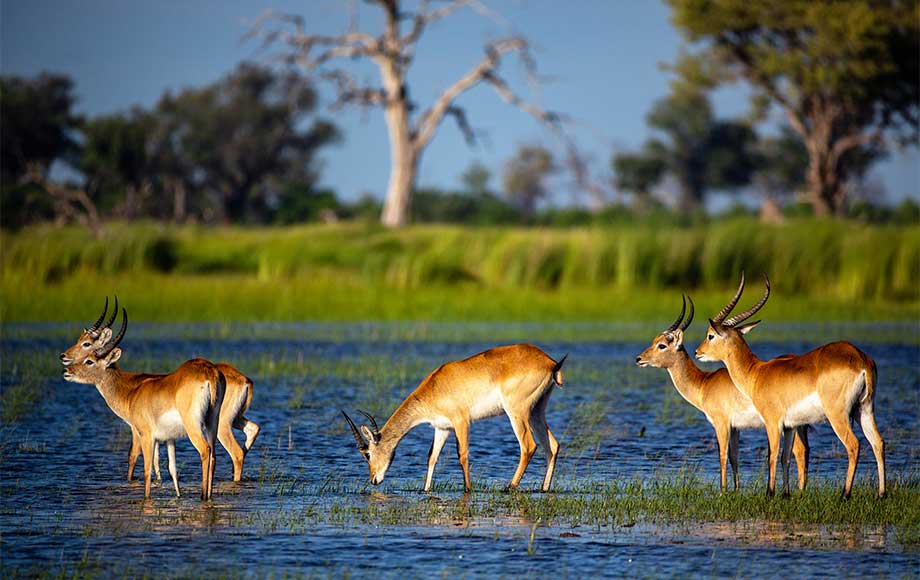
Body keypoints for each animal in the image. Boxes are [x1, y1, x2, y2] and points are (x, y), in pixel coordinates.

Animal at [60, 296, 262, 482]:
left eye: (87, 346)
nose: (65, 361)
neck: (128, 389)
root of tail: (244, 379)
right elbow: (156, 462)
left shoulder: (137, 430)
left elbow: (133, 457)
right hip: (232, 419)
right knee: (252, 430)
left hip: (219, 425)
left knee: (235, 453)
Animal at [342, 344, 564, 494]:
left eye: (367, 454)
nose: (373, 480)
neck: (435, 387)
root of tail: (550, 362)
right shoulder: (442, 428)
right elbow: (432, 457)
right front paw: (426, 490)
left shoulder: (461, 422)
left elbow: (462, 454)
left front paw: (467, 489)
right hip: (536, 411)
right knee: (552, 445)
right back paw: (544, 489)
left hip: (516, 412)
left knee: (528, 446)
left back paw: (508, 487)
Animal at [636, 296, 808, 492]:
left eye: (662, 345)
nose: (639, 359)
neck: (704, 383)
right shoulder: (735, 427)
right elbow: (734, 457)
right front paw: (736, 490)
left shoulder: (721, 423)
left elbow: (722, 455)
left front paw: (722, 491)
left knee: (798, 452)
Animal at [696, 274, 884, 498]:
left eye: (710, 335)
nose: (698, 352)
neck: (757, 373)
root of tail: (860, 358)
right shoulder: (791, 426)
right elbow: (786, 455)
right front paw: (785, 495)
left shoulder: (772, 421)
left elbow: (772, 454)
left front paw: (769, 494)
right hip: (864, 409)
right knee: (878, 442)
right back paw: (881, 494)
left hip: (838, 414)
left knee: (854, 444)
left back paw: (844, 495)